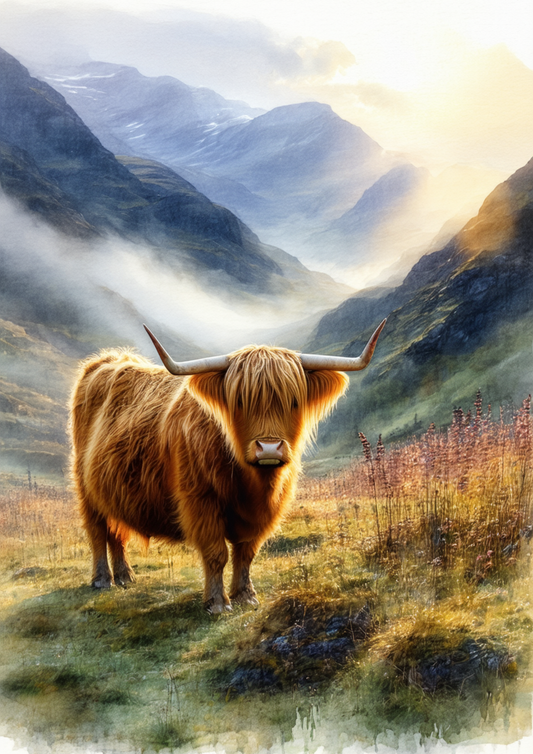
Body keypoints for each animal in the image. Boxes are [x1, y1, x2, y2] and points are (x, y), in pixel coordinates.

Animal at [70, 320, 386, 613]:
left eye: (294, 401)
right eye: (241, 401)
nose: (268, 448)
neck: (251, 483)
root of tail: (107, 360)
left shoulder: (262, 513)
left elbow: (246, 552)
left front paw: (246, 595)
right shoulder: (200, 502)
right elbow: (216, 553)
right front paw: (217, 603)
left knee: (116, 531)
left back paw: (125, 576)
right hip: (85, 488)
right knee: (97, 530)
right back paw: (102, 579)